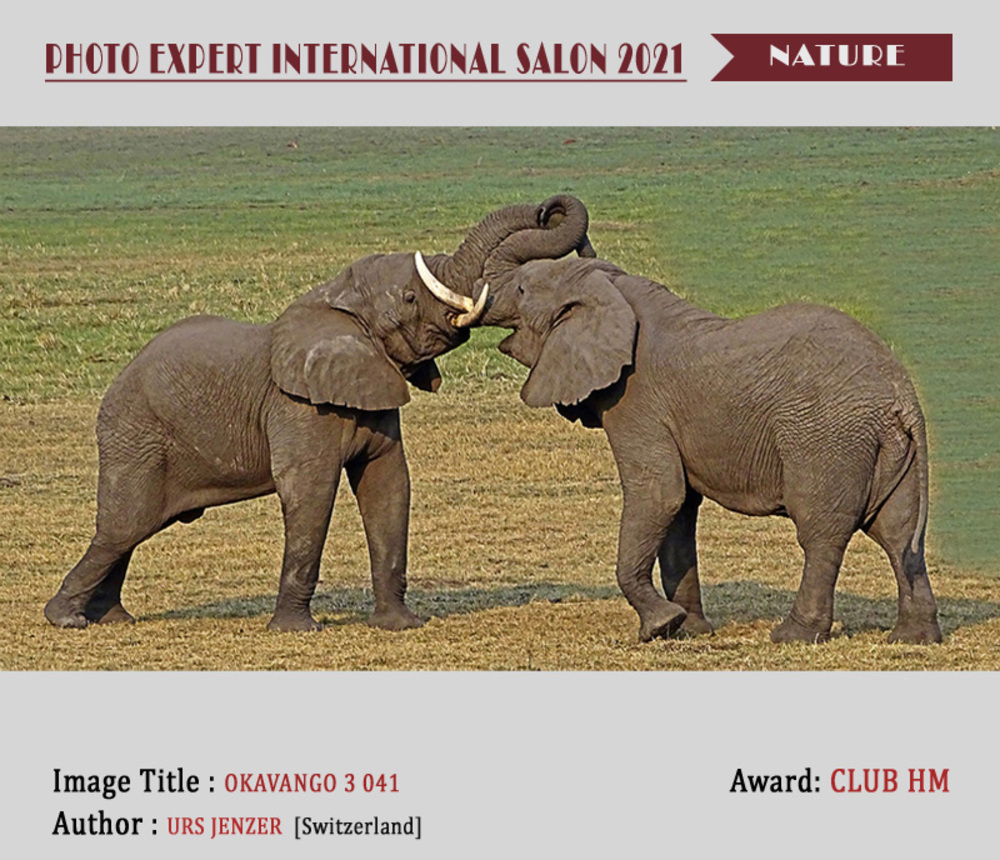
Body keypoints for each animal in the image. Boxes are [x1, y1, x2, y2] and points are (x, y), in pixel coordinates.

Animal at [44, 194, 594, 633]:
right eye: (410, 296)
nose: (549, 209)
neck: (335, 303)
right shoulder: (299, 406)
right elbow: (310, 490)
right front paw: (296, 630)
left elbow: (388, 485)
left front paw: (401, 625)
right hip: (135, 433)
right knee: (123, 526)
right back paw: (67, 619)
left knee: (133, 531)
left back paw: (114, 618)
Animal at [471, 245, 942, 645]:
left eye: (521, 289)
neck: (614, 288)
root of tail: (900, 395)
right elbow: (680, 508)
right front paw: (689, 630)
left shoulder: (636, 402)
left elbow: (659, 493)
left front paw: (659, 628)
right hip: (881, 446)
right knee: (898, 532)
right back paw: (912, 639)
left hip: (827, 439)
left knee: (821, 532)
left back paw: (792, 636)